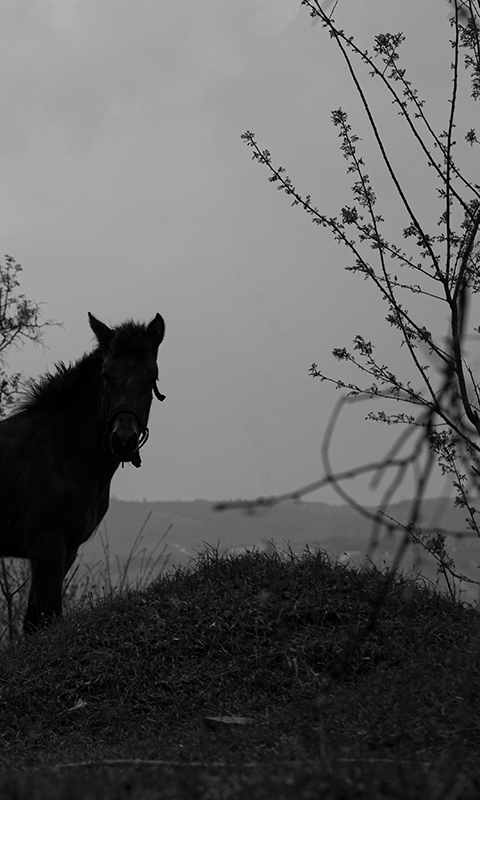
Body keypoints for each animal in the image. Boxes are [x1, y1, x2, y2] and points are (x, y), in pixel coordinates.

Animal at [0, 312, 166, 633]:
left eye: (152, 377)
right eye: (105, 375)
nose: (123, 439)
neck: (67, 448)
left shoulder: (68, 547)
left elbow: (35, 623)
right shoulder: (47, 542)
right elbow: (48, 617)